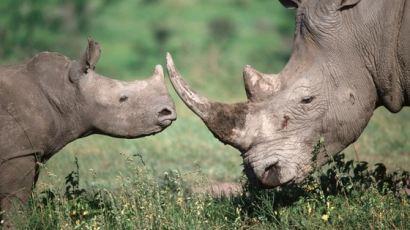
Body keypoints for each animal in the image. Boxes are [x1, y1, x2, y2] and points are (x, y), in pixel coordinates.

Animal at [0, 39, 176, 217]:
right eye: (123, 98)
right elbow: (14, 204)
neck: (65, 92)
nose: (167, 112)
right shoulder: (19, 152)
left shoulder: (31, 151)